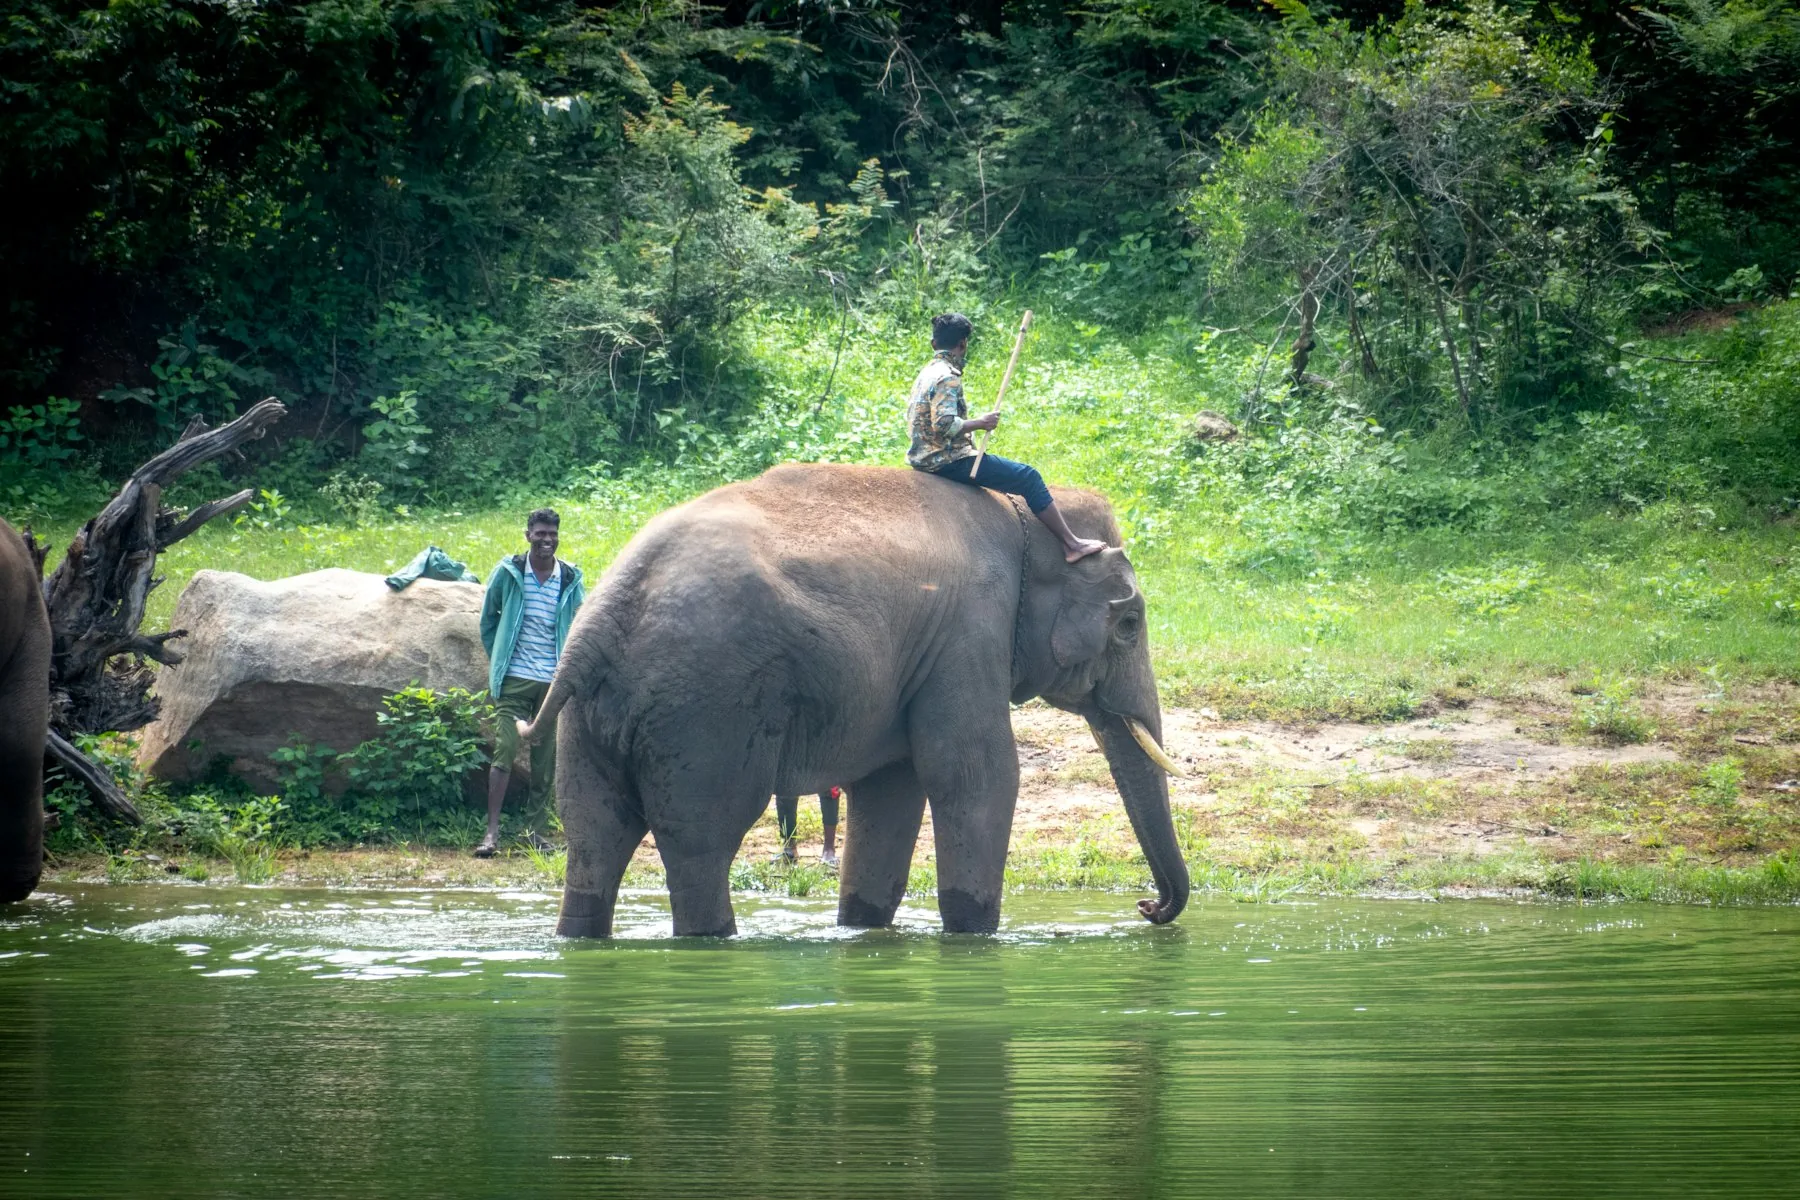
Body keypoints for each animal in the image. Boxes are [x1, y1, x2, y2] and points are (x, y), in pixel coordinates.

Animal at [522, 463, 1189, 937]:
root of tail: (597, 627)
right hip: (704, 711)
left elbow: (892, 786)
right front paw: (973, 935)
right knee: (701, 840)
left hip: (594, 719)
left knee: (594, 833)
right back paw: (710, 940)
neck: (1024, 519)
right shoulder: (970, 630)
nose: (1146, 906)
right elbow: (975, 773)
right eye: (1130, 625)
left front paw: (863, 929)